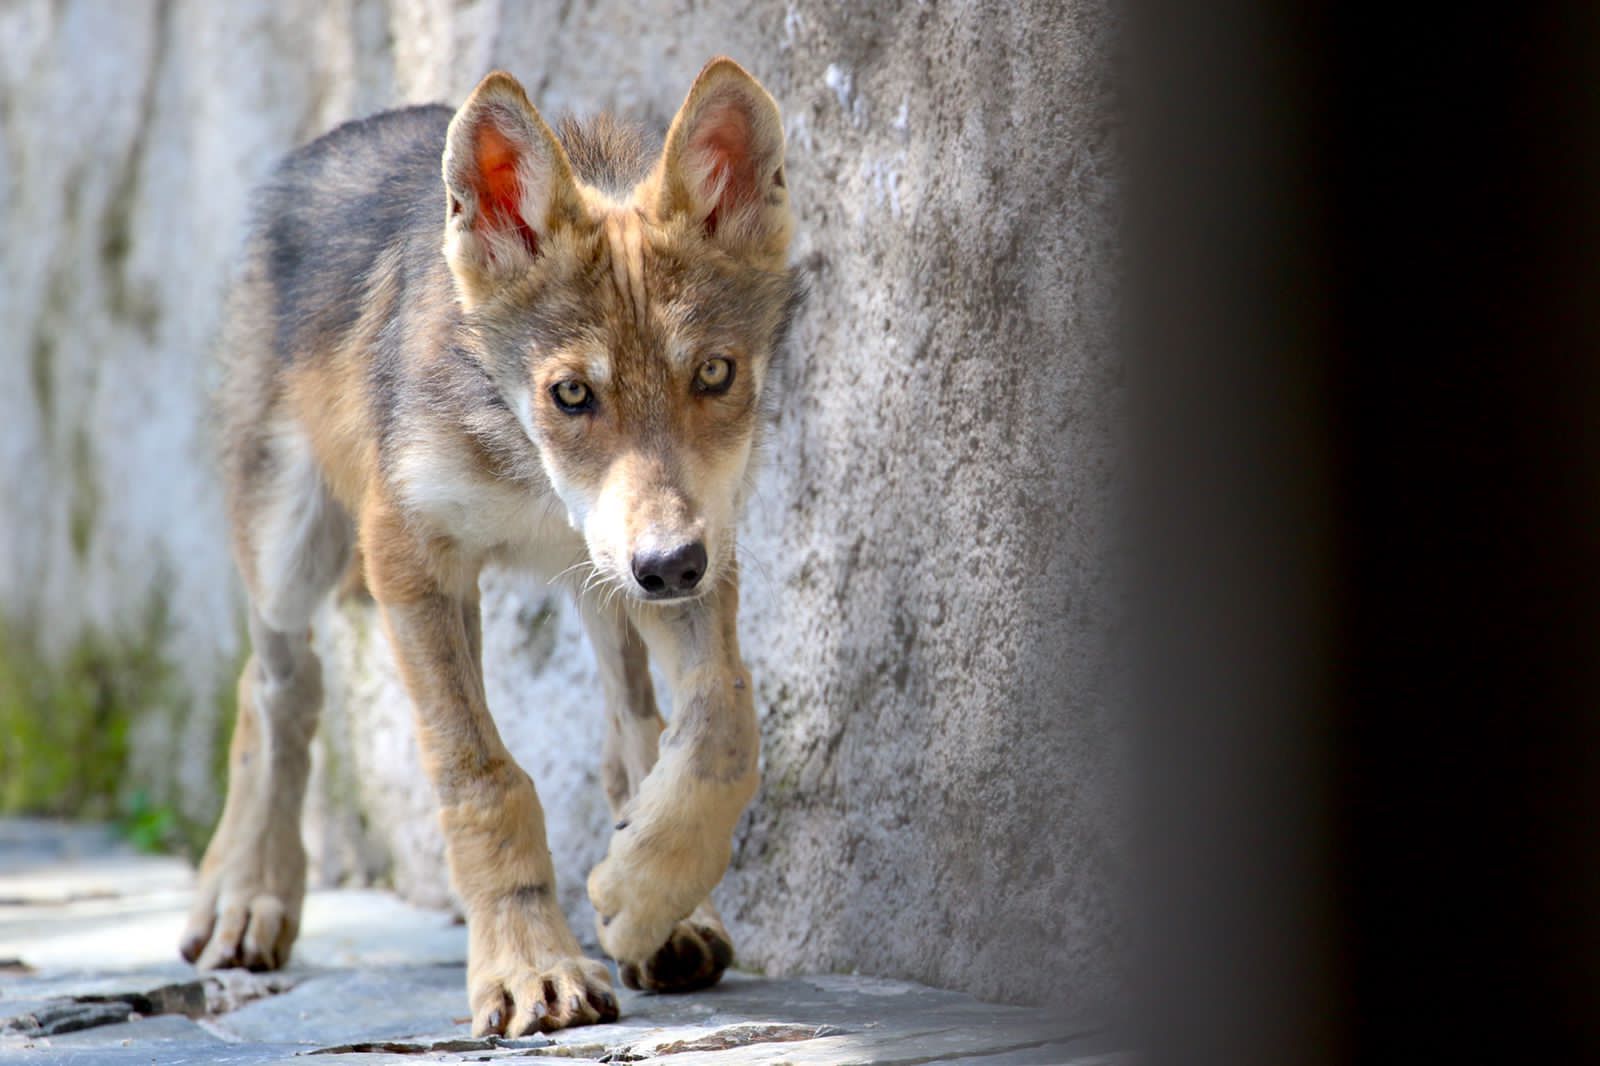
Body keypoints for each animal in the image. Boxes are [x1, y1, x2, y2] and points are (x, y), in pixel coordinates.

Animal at [180, 54, 800, 1030]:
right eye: (571, 394)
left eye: (714, 373)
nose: (669, 567)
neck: (529, 474)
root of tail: (339, 136)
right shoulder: (409, 556)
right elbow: (482, 778)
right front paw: (529, 967)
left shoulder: (693, 547)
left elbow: (723, 730)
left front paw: (638, 897)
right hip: (291, 547)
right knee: (275, 687)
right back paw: (245, 899)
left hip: (597, 587)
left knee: (631, 735)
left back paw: (673, 916)